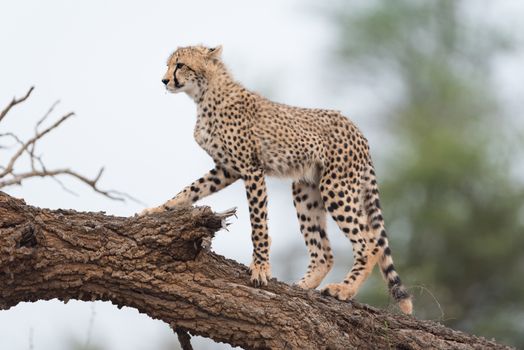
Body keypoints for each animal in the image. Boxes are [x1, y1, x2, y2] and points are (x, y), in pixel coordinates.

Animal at [139, 44, 414, 314]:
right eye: (168, 64)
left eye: (180, 65)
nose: (164, 80)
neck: (204, 94)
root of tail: (358, 131)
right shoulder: (226, 170)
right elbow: (189, 190)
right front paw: (156, 210)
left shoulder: (251, 169)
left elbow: (258, 224)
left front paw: (260, 268)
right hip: (306, 189)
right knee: (324, 253)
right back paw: (302, 286)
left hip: (336, 187)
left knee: (370, 243)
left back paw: (344, 289)